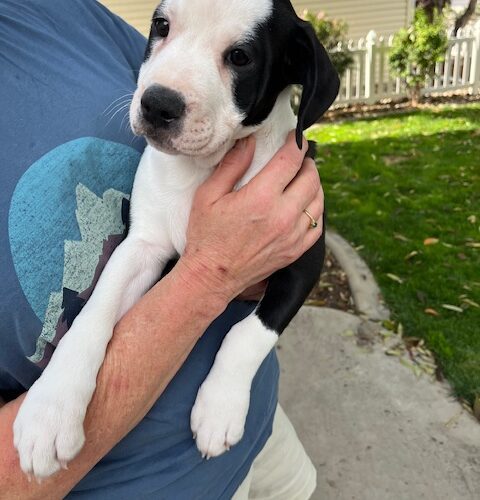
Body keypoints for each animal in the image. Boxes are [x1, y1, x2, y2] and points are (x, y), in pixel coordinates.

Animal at [14, 0, 338, 478]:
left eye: (241, 57)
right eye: (161, 26)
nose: (157, 104)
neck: (201, 168)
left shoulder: (304, 258)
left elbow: (249, 333)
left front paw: (220, 408)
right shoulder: (140, 248)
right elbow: (93, 313)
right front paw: (49, 411)